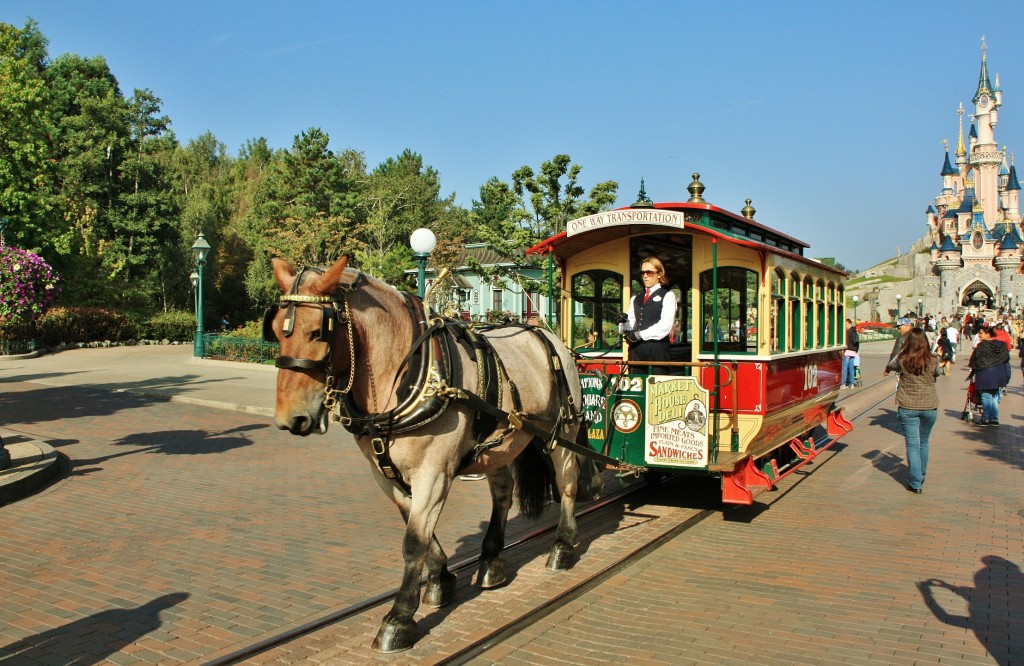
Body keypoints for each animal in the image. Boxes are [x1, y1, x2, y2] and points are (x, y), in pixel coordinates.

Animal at [266, 254, 598, 647]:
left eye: (318, 331)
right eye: (275, 329)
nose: (290, 418)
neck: (402, 375)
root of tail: (547, 336)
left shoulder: (434, 473)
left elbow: (413, 541)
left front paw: (398, 619)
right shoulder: (387, 475)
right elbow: (420, 532)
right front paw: (440, 579)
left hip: (560, 433)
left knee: (567, 483)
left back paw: (563, 546)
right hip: (498, 444)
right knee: (503, 493)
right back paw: (491, 560)